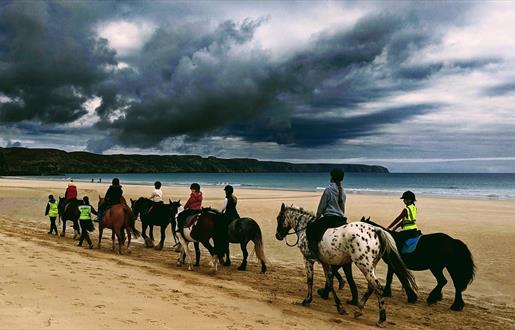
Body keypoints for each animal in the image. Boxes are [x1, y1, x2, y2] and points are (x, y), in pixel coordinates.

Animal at [276, 204, 418, 328]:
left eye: (279, 218)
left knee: (377, 287)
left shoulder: (308, 259)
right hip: (370, 266)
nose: (277, 235)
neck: (305, 227)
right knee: (371, 287)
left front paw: (307, 300)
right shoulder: (325, 262)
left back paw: (381, 319)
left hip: (363, 264)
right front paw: (339, 307)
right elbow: (330, 282)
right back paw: (359, 310)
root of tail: (376, 230)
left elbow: (310, 280)